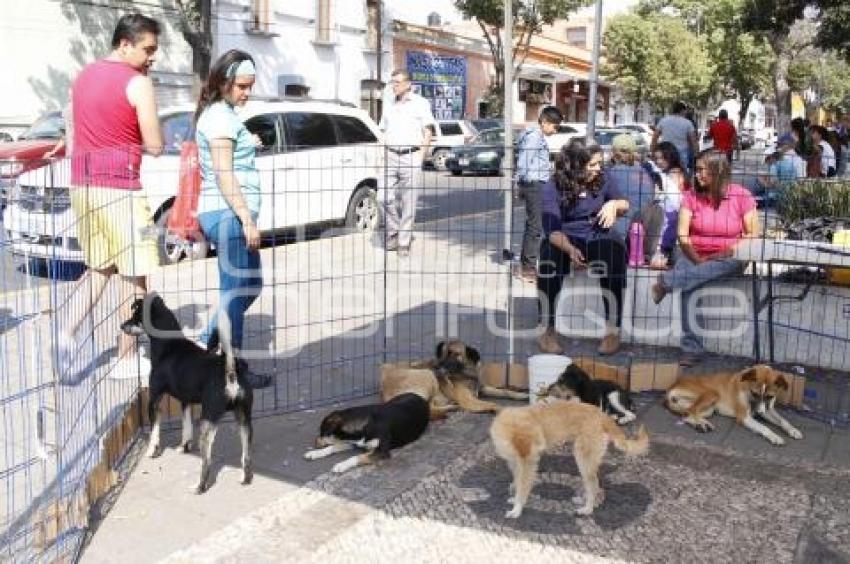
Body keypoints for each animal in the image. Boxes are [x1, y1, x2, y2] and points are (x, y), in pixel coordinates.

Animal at [120, 294, 252, 492]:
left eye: (136, 317)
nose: (122, 326)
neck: (168, 344)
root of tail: (231, 374)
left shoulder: (154, 399)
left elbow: (154, 430)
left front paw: (152, 451)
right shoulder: (186, 401)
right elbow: (186, 427)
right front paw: (184, 447)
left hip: (208, 420)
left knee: (207, 461)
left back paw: (199, 486)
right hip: (244, 418)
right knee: (246, 455)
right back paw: (244, 479)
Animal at [380, 340, 528, 418]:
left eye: (454, 354)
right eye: (443, 353)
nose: (437, 366)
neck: (466, 372)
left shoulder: (482, 388)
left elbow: (506, 391)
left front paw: (522, 395)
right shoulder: (469, 400)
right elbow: (492, 403)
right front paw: (501, 410)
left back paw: (451, 407)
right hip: (427, 376)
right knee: (429, 410)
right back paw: (452, 407)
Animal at [486, 398, 644, 516]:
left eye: (540, 438)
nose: (542, 447)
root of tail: (601, 415)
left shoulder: (527, 461)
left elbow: (522, 485)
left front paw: (517, 508)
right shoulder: (515, 462)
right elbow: (517, 482)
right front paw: (515, 498)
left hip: (583, 458)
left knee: (593, 484)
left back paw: (588, 508)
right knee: (595, 484)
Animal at [664, 364, 800, 448]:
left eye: (770, 396)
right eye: (754, 393)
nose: (759, 413)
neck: (746, 386)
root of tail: (672, 386)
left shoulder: (768, 410)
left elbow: (783, 421)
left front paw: (794, 430)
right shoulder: (744, 417)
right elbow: (763, 427)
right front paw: (774, 436)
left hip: (709, 409)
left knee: (687, 414)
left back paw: (702, 424)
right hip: (712, 394)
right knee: (690, 412)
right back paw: (702, 425)